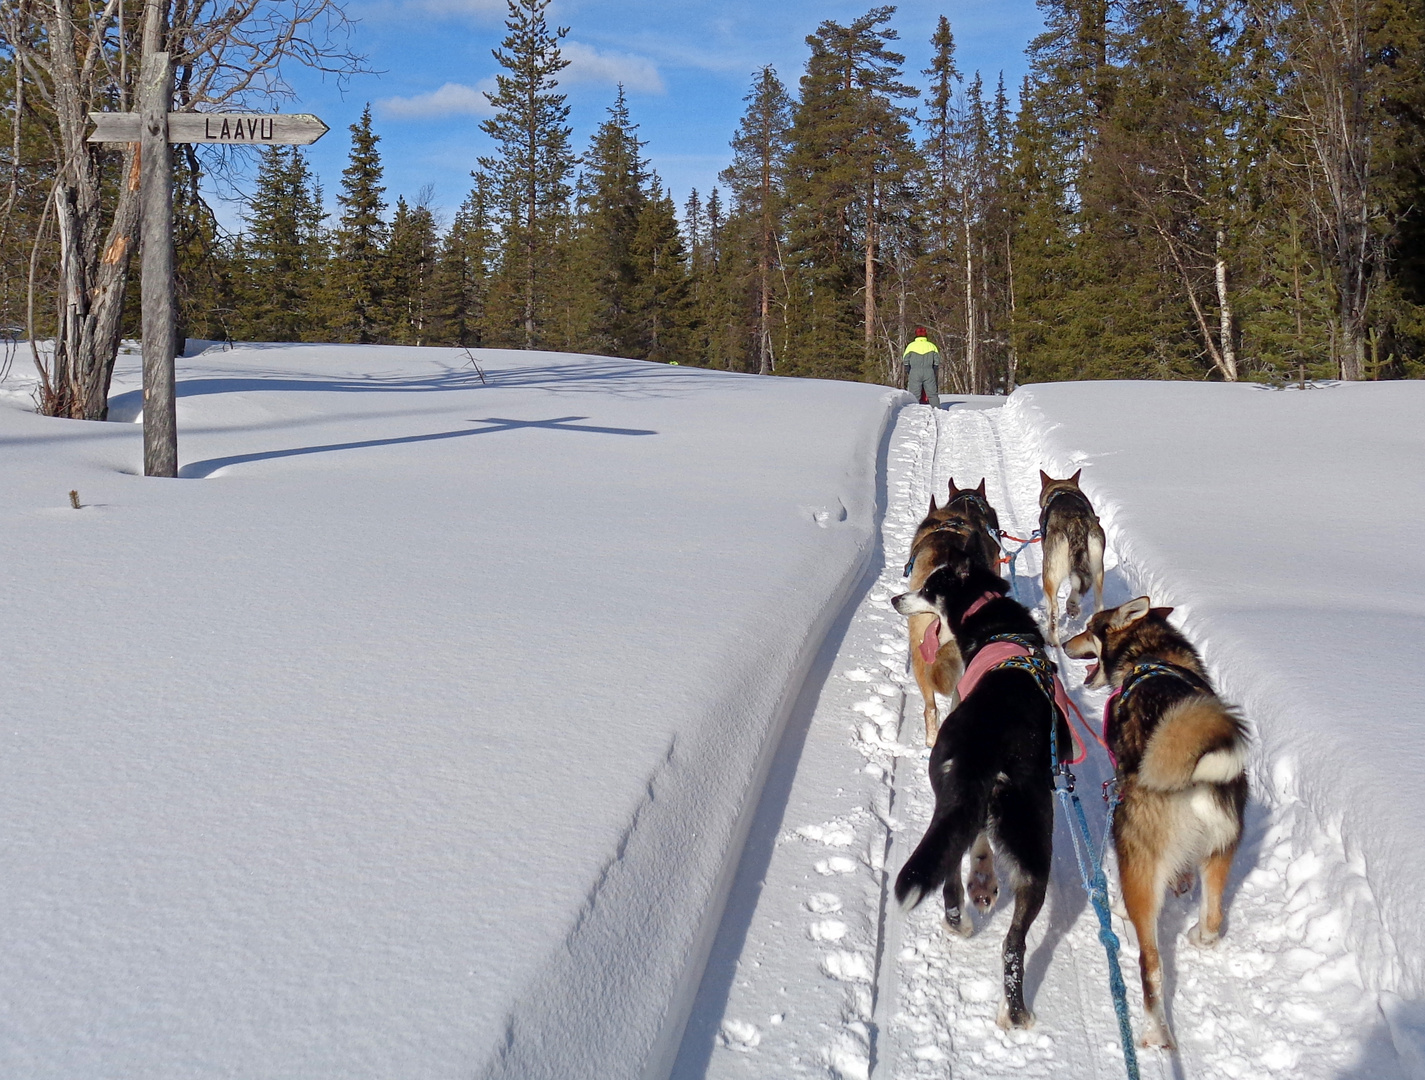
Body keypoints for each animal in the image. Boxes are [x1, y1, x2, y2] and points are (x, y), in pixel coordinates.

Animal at [889, 567, 1071, 1031]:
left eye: (928, 589)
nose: (897, 599)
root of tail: (983, 748)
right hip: (1032, 845)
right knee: (1011, 941)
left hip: (967, 811)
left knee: (954, 874)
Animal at [1060, 601, 1248, 1048]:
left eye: (1091, 628)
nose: (1063, 642)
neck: (1152, 655)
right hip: (1220, 851)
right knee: (1213, 920)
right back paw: (1198, 933)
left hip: (1136, 858)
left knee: (1152, 965)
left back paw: (1153, 1031)